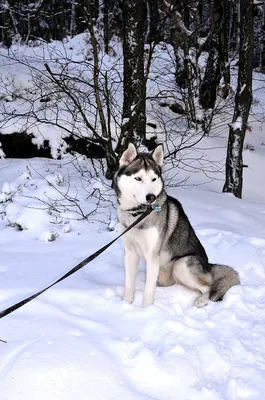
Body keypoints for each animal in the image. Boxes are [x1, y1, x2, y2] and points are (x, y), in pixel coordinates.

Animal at [114, 143, 239, 306]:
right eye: (138, 178)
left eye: (153, 179)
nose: (151, 197)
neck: (138, 215)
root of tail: (208, 265)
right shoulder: (130, 252)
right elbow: (129, 284)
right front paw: (126, 304)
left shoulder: (153, 255)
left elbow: (148, 290)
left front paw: (146, 309)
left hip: (182, 264)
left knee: (208, 287)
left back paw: (201, 301)